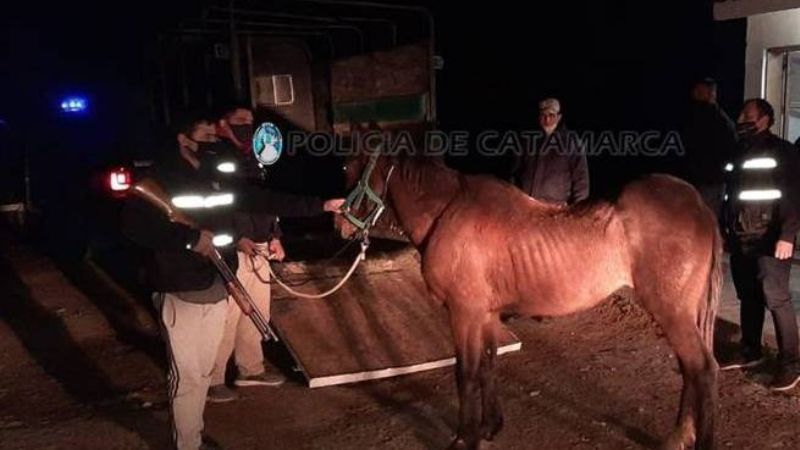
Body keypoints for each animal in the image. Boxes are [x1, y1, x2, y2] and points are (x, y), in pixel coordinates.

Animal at [337, 150, 722, 450]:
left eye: (349, 168)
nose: (341, 224)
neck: (446, 212)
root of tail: (700, 206)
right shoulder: (486, 315)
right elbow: (488, 366)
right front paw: (490, 426)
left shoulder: (463, 314)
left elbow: (466, 373)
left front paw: (465, 437)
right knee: (691, 369)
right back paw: (679, 437)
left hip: (672, 312)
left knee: (703, 369)